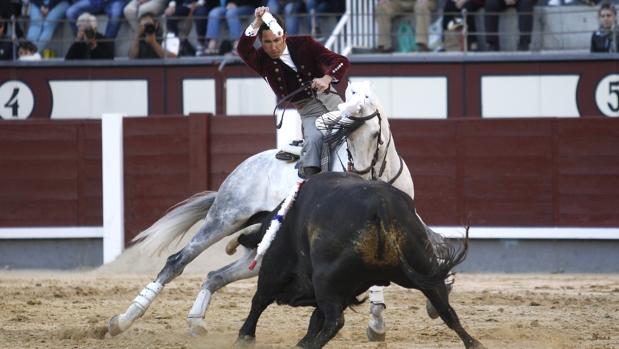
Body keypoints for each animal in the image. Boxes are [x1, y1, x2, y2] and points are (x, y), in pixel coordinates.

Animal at [106, 79, 446, 340]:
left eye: (375, 133)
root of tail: (245, 166)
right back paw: (122, 321)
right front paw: (377, 323)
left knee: (216, 275)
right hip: (224, 218)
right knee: (177, 261)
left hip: (261, 248)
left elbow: (434, 247)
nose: (359, 175)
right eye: (347, 135)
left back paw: (196, 322)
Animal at [235, 172, 482, 348]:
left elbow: (259, 300)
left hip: (323, 278)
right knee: (446, 309)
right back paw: (474, 343)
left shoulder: (275, 268)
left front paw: (244, 338)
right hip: (422, 265)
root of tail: (382, 205)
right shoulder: (346, 289)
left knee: (335, 321)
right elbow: (316, 316)